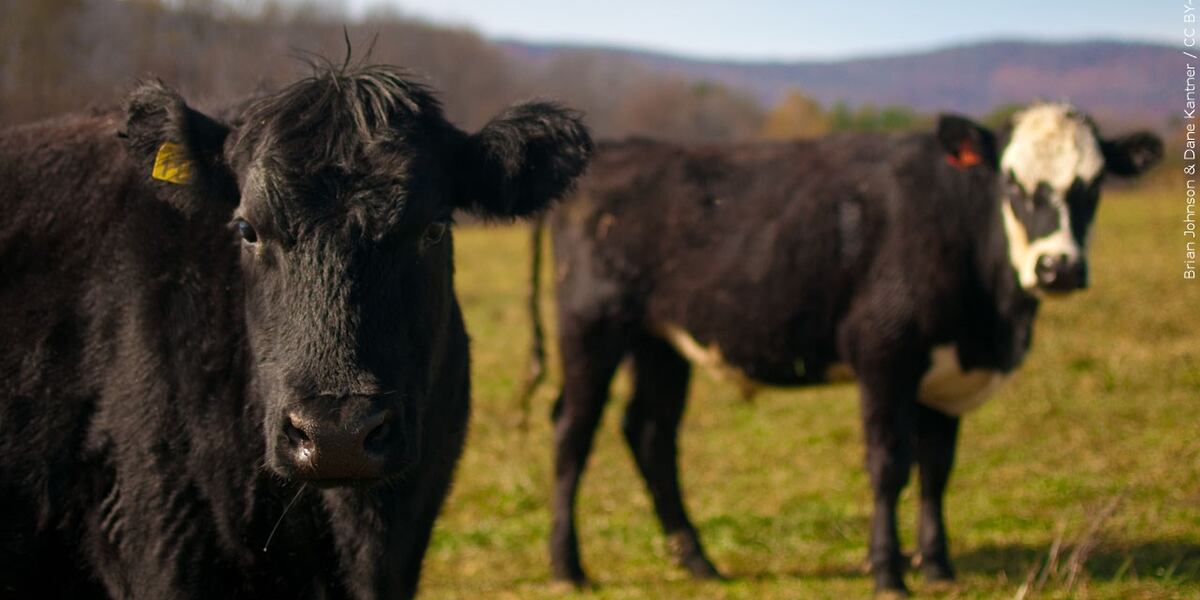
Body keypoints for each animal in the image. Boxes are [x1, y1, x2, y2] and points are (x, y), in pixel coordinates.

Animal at [521, 103, 1161, 595]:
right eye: (1012, 183)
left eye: (1093, 185)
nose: (1058, 267)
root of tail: (612, 150)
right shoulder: (884, 352)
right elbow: (889, 464)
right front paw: (888, 573)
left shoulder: (944, 377)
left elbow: (937, 471)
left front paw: (939, 568)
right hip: (593, 328)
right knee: (572, 432)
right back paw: (568, 567)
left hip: (660, 341)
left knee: (651, 434)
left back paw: (698, 560)